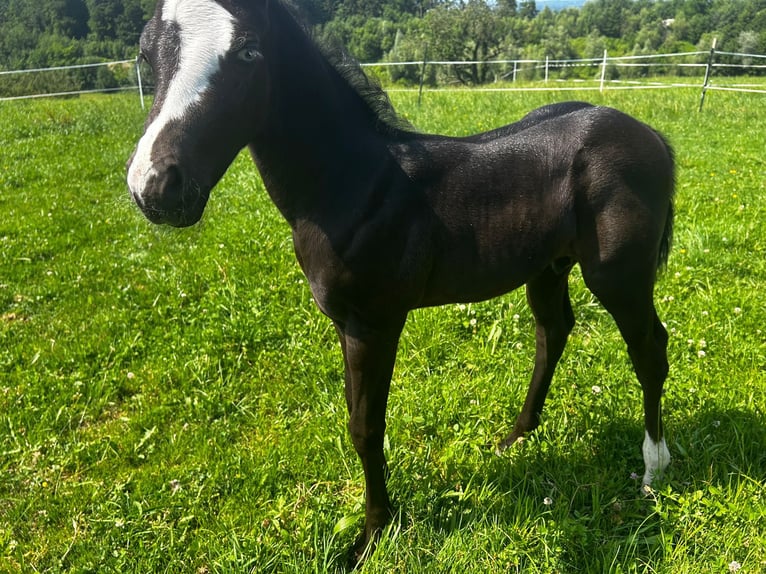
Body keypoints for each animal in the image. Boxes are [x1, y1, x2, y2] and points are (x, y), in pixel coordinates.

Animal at [126, 0, 675, 564]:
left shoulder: (376, 323)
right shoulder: (345, 324)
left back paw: (653, 469)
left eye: (248, 52)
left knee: (649, 348)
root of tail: (652, 136)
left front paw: (372, 535)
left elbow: (367, 427)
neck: (353, 184)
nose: (156, 187)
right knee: (554, 332)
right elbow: (355, 416)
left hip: (619, 277)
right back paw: (516, 438)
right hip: (547, 267)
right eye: (145, 53)